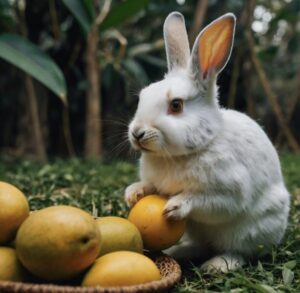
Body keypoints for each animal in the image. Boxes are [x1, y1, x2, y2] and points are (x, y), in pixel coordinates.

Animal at [123, 11, 288, 272]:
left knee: (241, 252)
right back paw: (178, 251)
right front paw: (133, 193)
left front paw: (176, 206)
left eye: (176, 105)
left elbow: (209, 202)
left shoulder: (229, 192)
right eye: (142, 97)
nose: (137, 133)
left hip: (250, 232)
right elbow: (149, 187)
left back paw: (217, 265)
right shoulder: (157, 184)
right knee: (201, 246)